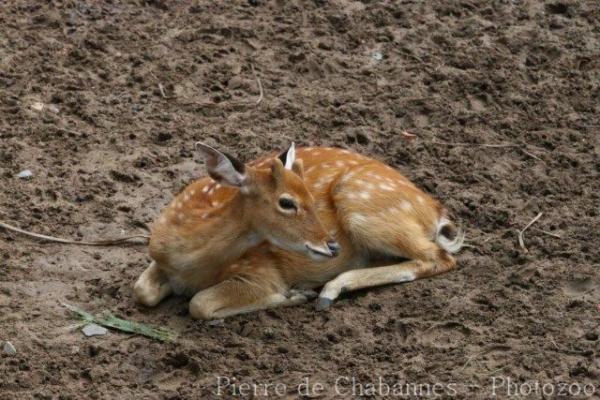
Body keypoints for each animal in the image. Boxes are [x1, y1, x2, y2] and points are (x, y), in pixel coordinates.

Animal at [136, 142, 464, 320]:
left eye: (309, 194)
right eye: (286, 202)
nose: (332, 246)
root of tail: (433, 209)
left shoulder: (259, 270)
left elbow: (199, 303)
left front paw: (293, 294)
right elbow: (142, 291)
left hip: (361, 205)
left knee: (439, 257)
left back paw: (327, 291)